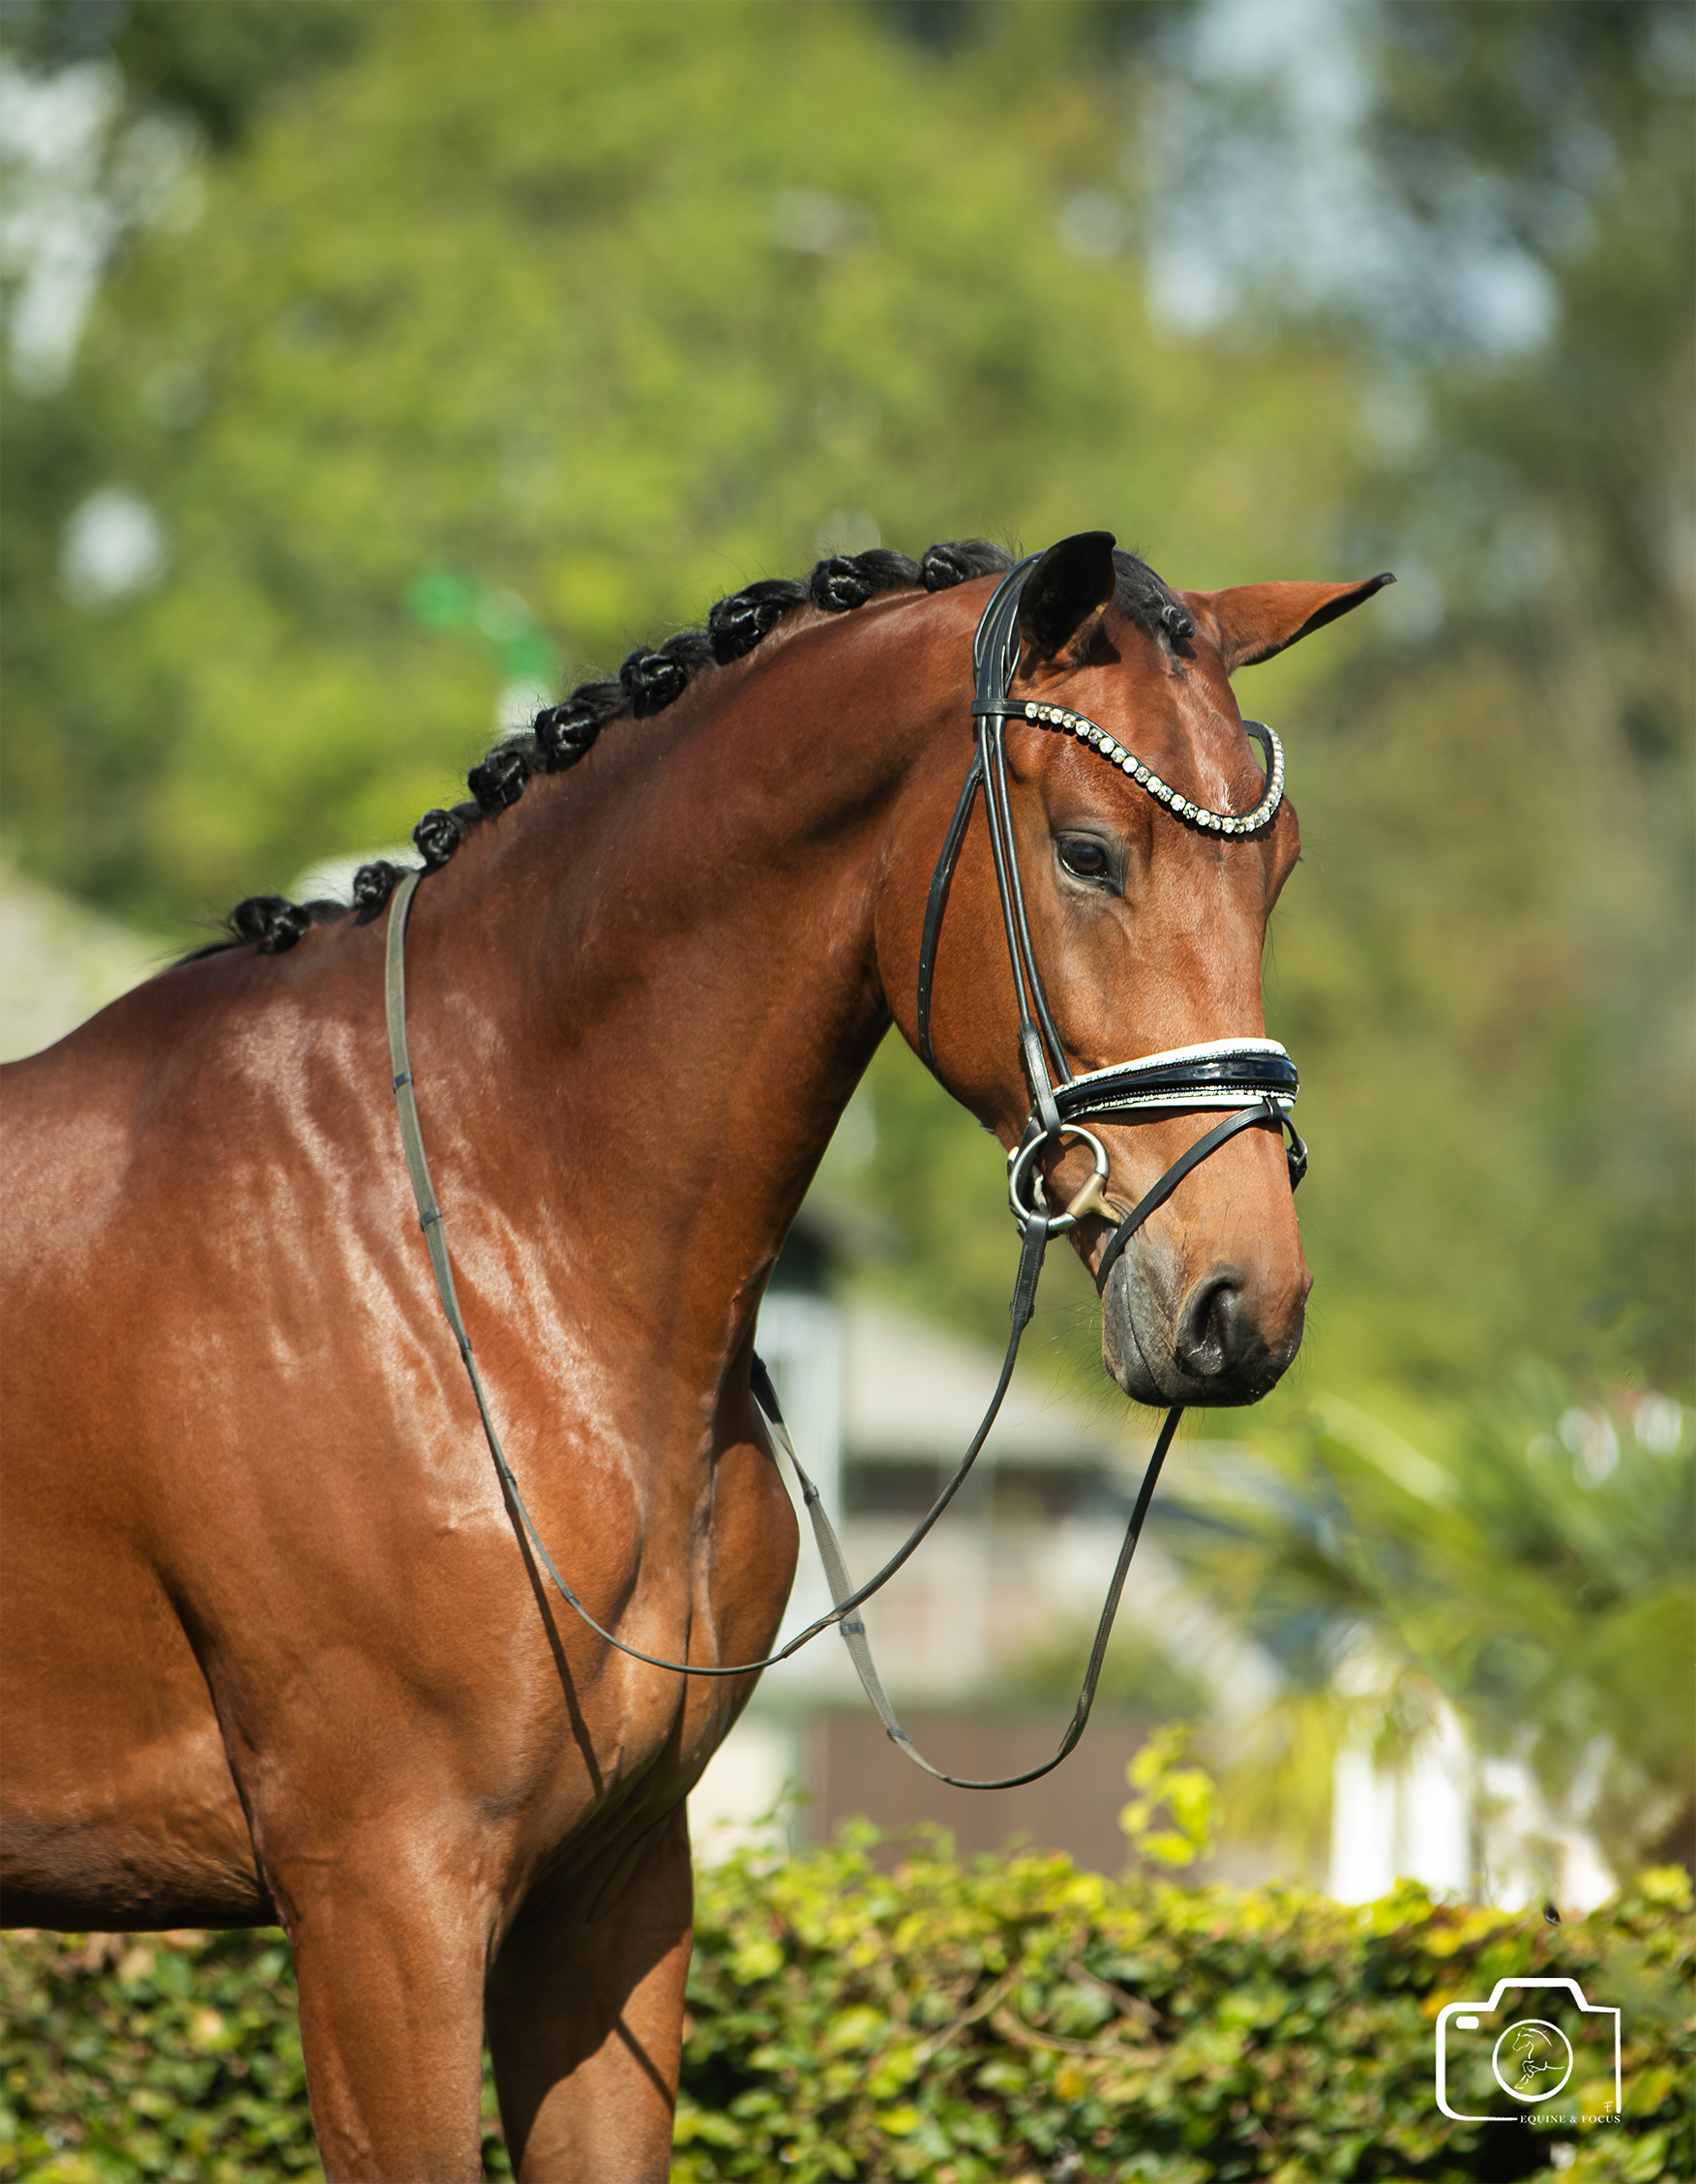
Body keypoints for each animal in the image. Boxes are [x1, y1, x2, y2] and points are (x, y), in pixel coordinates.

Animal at [0, 532, 1388, 2182]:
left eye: (1280, 863)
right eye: (1090, 852)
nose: (1241, 1302)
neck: (469, 1230)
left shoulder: (611, 1892)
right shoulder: (380, 1901)